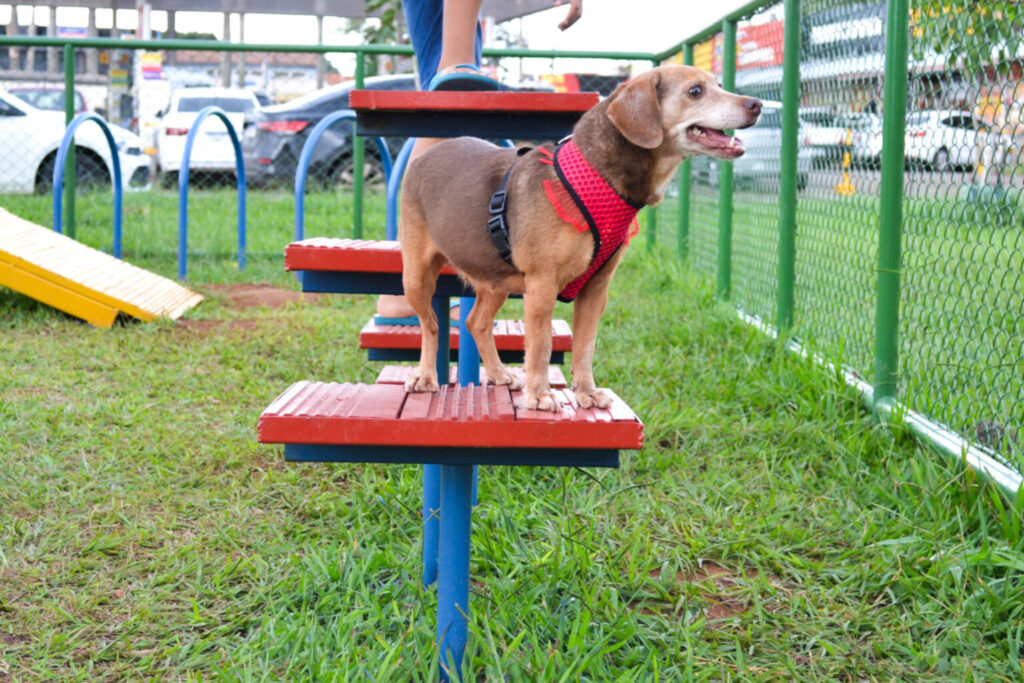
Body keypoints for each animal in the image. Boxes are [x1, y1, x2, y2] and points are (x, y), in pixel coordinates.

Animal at [399, 63, 761, 409]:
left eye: (718, 84)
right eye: (695, 91)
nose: (756, 105)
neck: (597, 175)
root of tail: (425, 157)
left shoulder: (596, 289)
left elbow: (586, 346)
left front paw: (585, 392)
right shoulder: (542, 285)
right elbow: (541, 346)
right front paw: (539, 395)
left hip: (496, 282)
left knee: (476, 323)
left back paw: (500, 374)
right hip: (416, 277)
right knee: (431, 324)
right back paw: (426, 376)